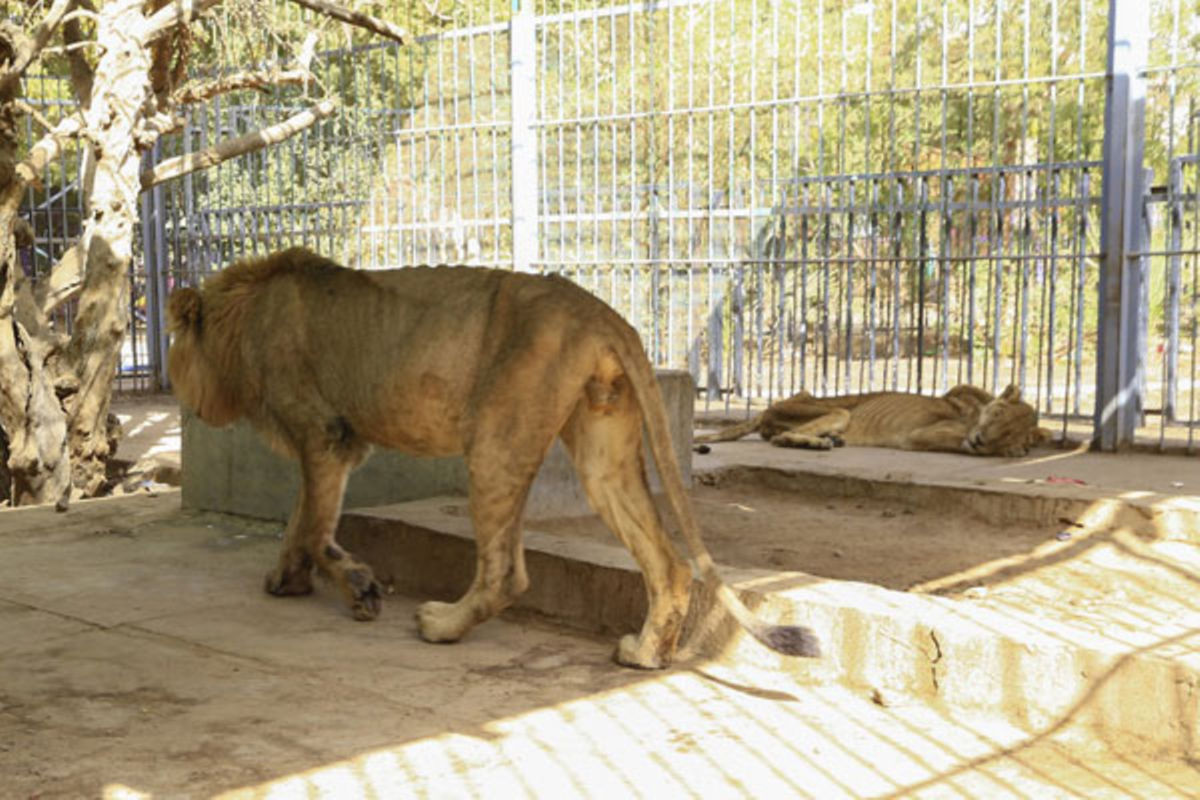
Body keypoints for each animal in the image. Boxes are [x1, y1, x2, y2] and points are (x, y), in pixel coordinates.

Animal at [169, 250, 820, 671]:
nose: (185, 405)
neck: (243, 321)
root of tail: (598, 310)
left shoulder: (326, 434)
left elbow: (312, 527)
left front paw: (359, 589)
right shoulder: (328, 441)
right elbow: (301, 520)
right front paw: (288, 579)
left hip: (494, 438)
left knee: (506, 571)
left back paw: (441, 626)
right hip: (602, 452)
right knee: (670, 563)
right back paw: (643, 656)